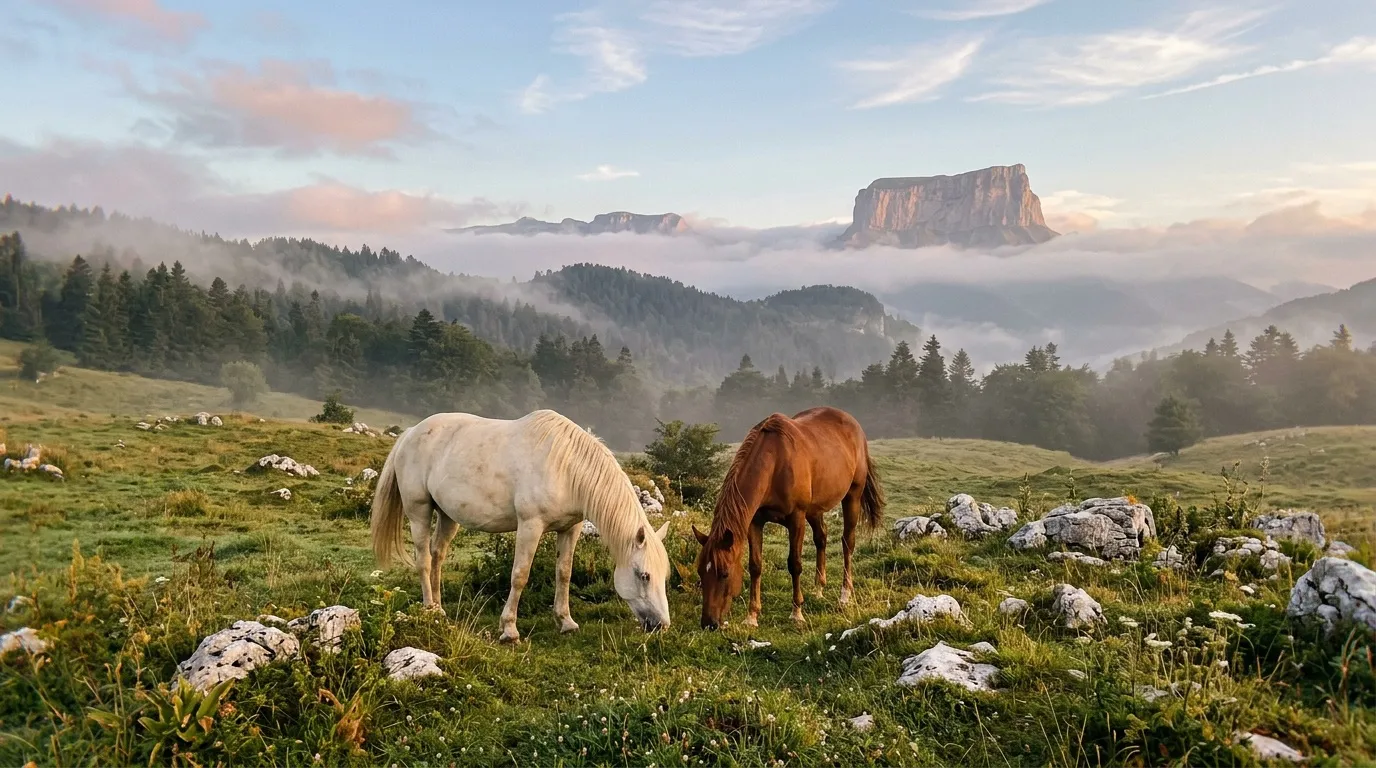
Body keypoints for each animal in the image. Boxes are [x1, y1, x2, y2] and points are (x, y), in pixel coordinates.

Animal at [370, 409, 672, 642]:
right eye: (644, 575)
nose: (661, 625)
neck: (565, 467)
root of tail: (410, 433)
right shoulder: (530, 525)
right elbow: (520, 575)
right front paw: (509, 630)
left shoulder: (570, 528)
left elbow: (564, 573)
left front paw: (566, 622)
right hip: (418, 510)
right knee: (422, 558)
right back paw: (429, 609)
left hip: (447, 515)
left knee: (437, 554)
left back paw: (440, 610)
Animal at [692, 406, 884, 629]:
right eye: (700, 572)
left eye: (724, 573)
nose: (708, 623)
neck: (774, 463)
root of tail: (853, 423)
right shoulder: (755, 522)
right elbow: (755, 565)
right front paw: (752, 616)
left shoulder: (796, 518)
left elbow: (795, 564)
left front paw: (797, 613)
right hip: (815, 509)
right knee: (822, 537)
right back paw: (818, 589)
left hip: (852, 496)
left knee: (847, 542)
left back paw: (845, 595)